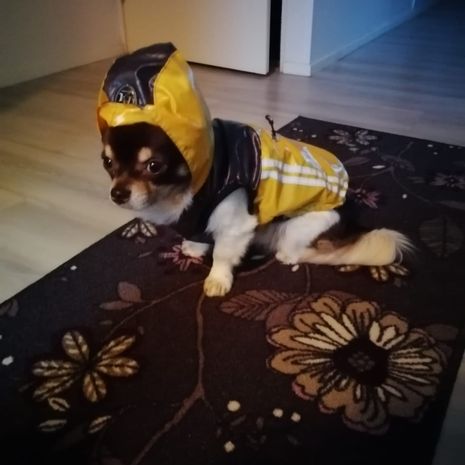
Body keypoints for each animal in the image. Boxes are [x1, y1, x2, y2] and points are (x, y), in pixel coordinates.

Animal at [98, 43, 411, 297]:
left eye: (154, 166)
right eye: (108, 163)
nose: (117, 193)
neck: (187, 188)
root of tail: (349, 215)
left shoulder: (235, 224)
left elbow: (223, 253)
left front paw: (218, 280)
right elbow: (198, 235)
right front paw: (194, 249)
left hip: (298, 227)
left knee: (297, 252)